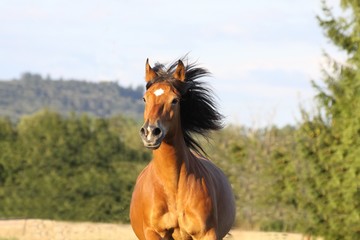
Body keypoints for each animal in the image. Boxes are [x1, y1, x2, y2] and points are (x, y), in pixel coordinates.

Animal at [129, 57, 236, 239]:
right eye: (144, 99)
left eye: (174, 100)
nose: (150, 132)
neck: (173, 189)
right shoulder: (153, 233)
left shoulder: (206, 233)